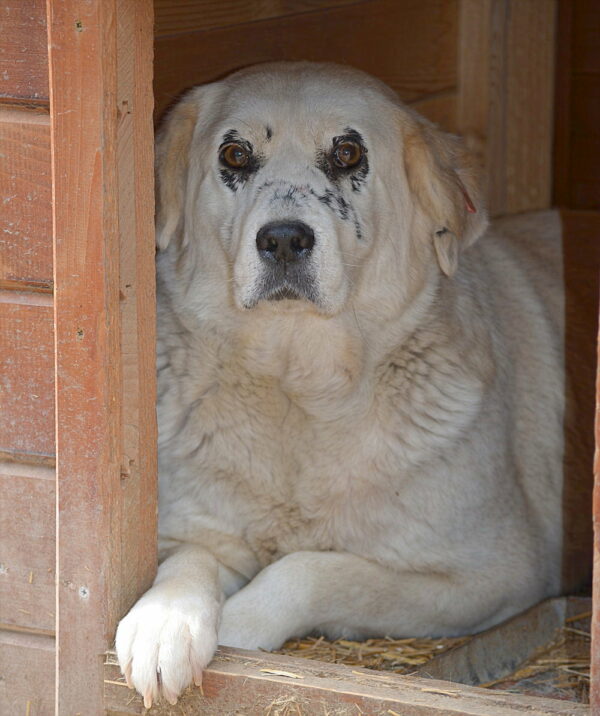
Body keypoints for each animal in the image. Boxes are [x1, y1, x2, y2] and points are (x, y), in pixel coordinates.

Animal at [115, 60, 592, 704]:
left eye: (347, 153)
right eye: (235, 155)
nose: (283, 239)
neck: (299, 390)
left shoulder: (494, 576)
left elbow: (315, 568)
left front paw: (239, 623)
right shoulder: (201, 528)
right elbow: (189, 557)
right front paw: (164, 620)